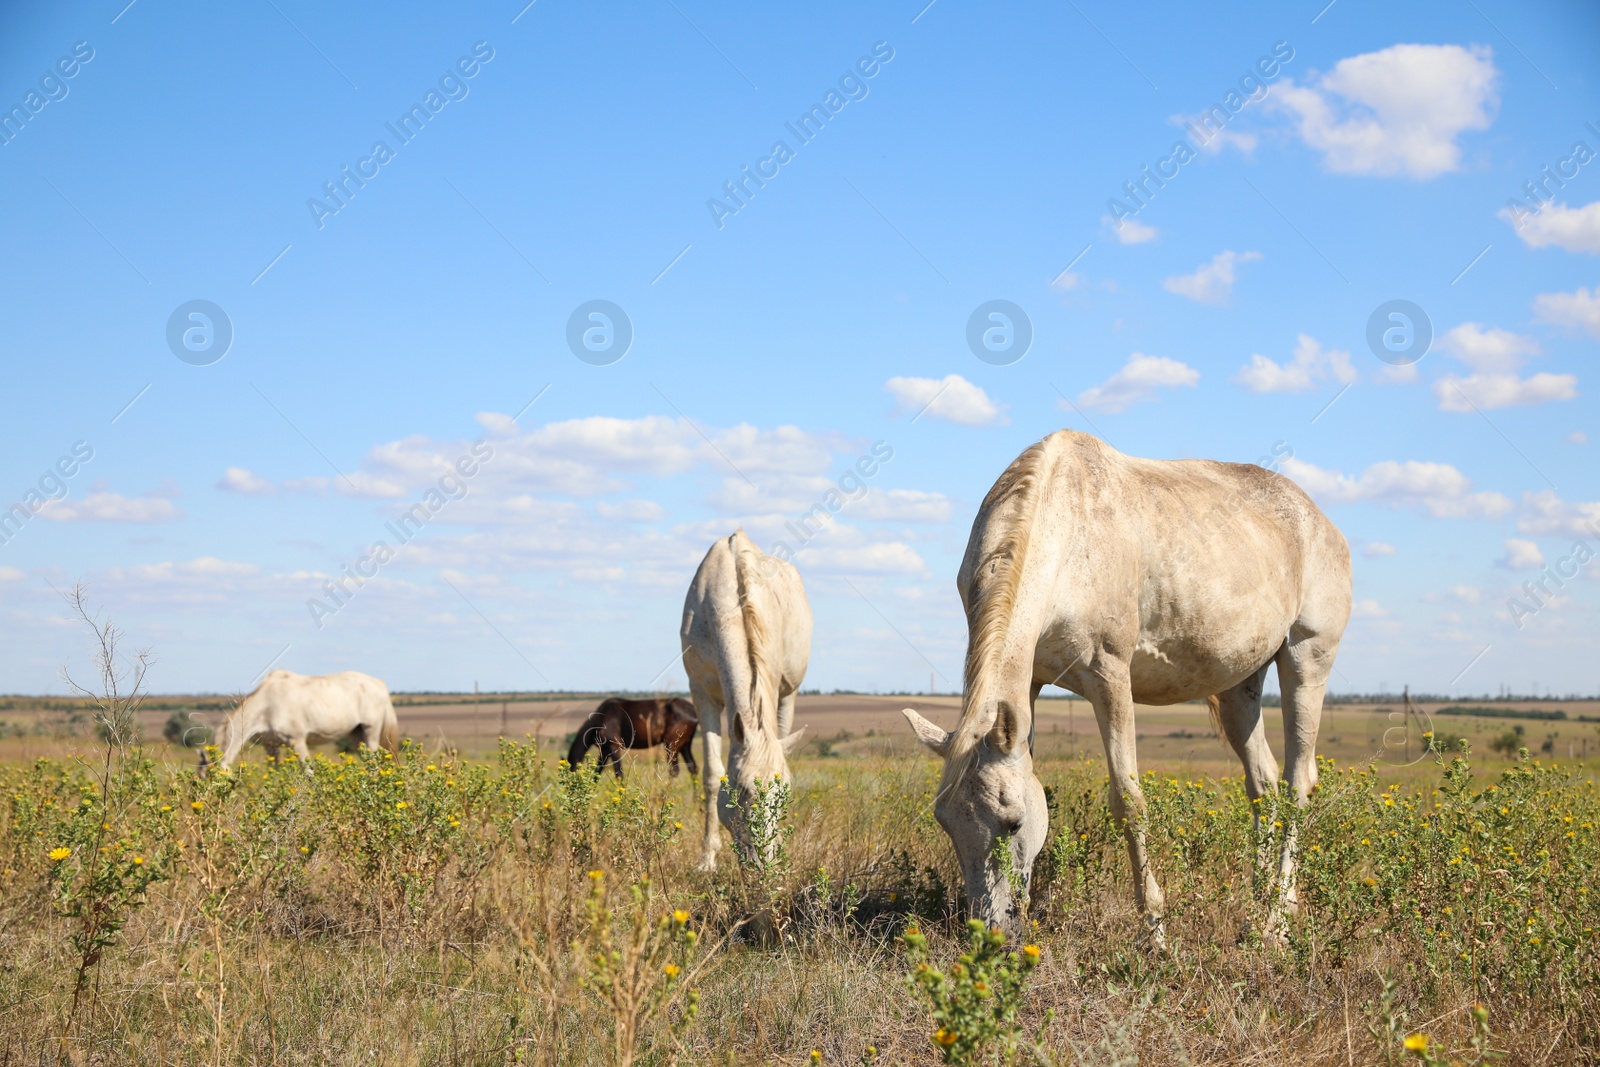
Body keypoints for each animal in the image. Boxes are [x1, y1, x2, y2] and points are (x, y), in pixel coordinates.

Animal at [206, 671, 400, 771]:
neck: (267, 704)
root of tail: (380, 684)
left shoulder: (297, 740)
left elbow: (308, 772)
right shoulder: (271, 746)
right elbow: (275, 772)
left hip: (370, 731)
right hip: (356, 734)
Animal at [569, 697, 700, 780]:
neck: (602, 718)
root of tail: (693, 712)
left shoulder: (614, 746)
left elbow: (619, 774)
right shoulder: (605, 750)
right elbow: (597, 773)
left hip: (672, 744)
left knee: (674, 770)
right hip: (685, 745)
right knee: (692, 768)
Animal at [684, 524, 812, 870]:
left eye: (784, 792)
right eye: (741, 790)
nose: (765, 864)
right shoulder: (701, 693)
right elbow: (712, 775)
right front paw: (707, 858)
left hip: (789, 695)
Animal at [902, 428, 1350, 947]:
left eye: (1012, 823)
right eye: (945, 822)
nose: (989, 934)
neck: (1066, 531)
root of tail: (1322, 521)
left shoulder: (1109, 676)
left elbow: (1129, 802)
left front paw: (1155, 932)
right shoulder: (1029, 683)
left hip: (1306, 660)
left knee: (1298, 785)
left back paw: (1276, 921)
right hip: (1241, 687)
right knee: (1264, 786)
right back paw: (1259, 911)